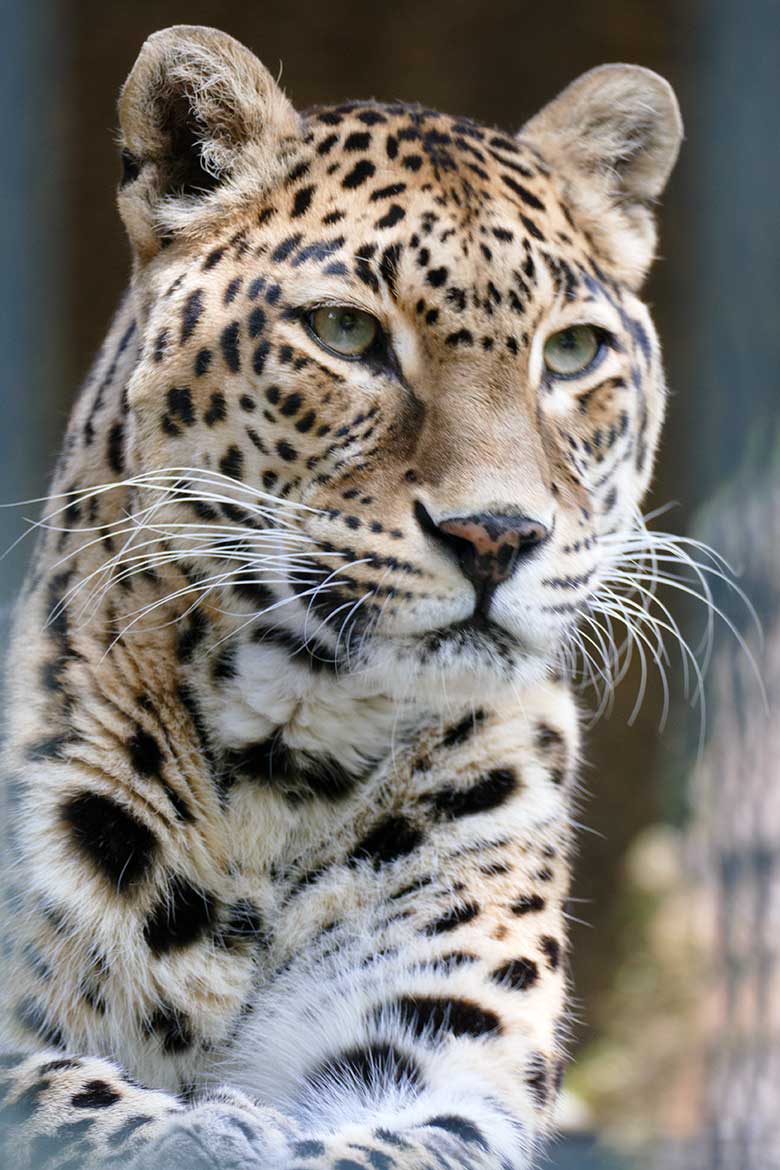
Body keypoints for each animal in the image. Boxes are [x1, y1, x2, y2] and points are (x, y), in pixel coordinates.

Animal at [0, 25, 682, 1170]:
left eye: (573, 351)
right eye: (345, 334)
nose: (496, 537)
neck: (290, 757)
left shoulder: (440, 1064)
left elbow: (388, 1145)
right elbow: (70, 1097)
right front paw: (210, 1133)